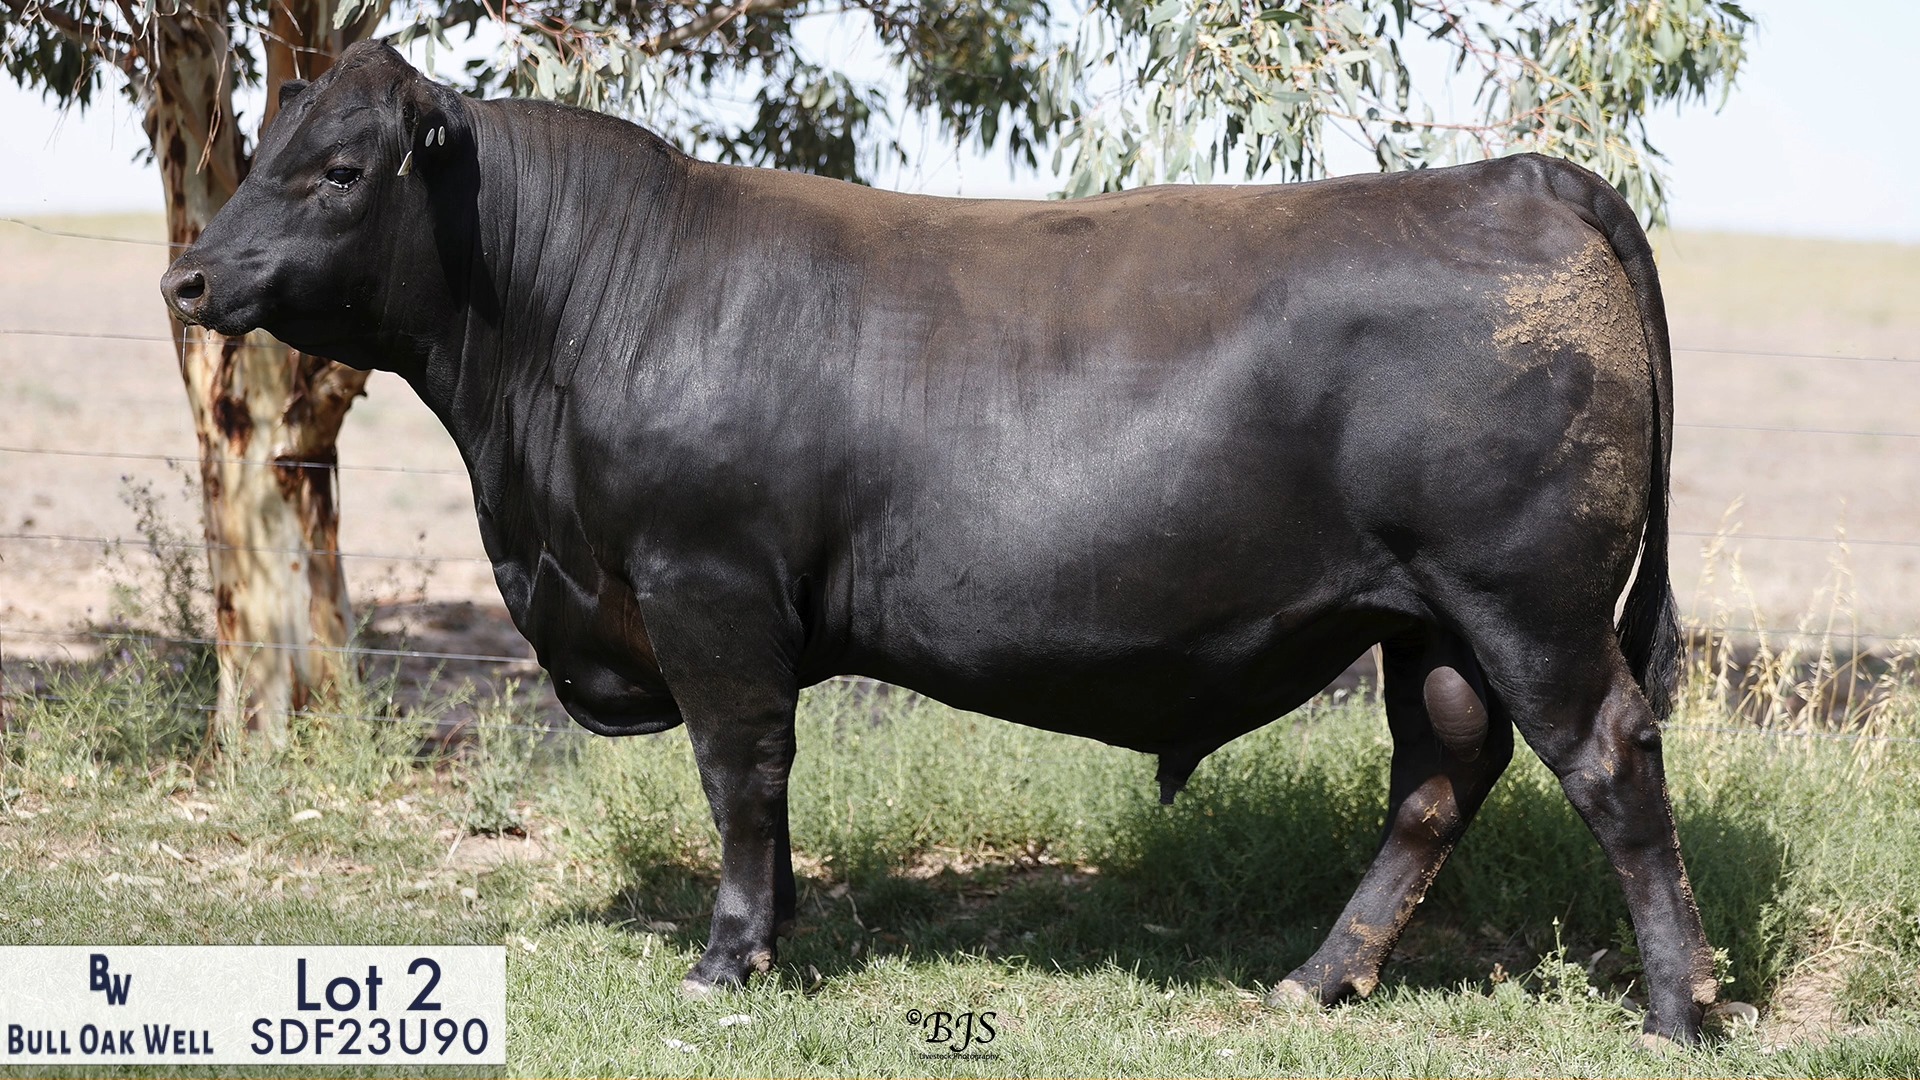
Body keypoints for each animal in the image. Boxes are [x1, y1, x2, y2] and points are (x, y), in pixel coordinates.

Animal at [162, 40, 1719, 1043]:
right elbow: (765, 791)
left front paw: (727, 960)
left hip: (1530, 605)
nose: (188, 276)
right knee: (1439, 776)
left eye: (339, 169)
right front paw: (780, 932)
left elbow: (740, 775)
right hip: (1430, 623)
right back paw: (1318, 981)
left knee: (1610, 763)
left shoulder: (708, 584)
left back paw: (1678, 1006)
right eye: (261, 152)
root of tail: (1513, 178)